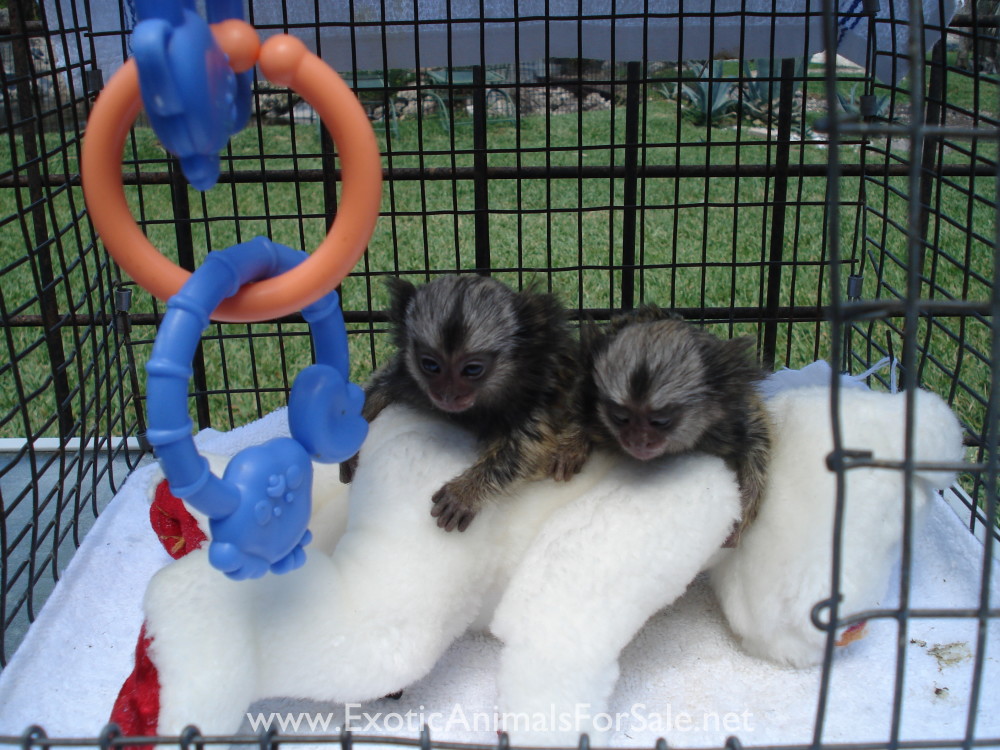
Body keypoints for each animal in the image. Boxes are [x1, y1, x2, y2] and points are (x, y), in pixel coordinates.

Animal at [340, 274, 585, 532]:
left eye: (472, 369)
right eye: (431, 365)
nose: (448, 395)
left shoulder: (538, 390)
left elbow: (529, 450)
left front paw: (466, 492)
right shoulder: (408, 377)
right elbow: (379, 386)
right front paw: (347, 443)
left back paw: (572, 445)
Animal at [575, 305, 772, 544]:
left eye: (660, 422)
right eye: (621, 418)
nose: (637, 441)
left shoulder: (731, 419)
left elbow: (758, 439)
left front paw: (744, 511)